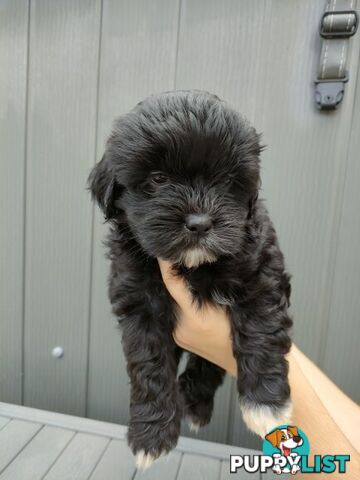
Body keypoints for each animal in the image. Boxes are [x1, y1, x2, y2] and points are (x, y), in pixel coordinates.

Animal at [88, 88, 294, 466]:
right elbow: (149, 365)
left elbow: (261, 332)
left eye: (227, 181)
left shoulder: (261, 276)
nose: (199, 223)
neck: (193, 266)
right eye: (158, 179)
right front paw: (151, 435)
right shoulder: (139, 302)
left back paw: (195, 399)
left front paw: (267, 405)